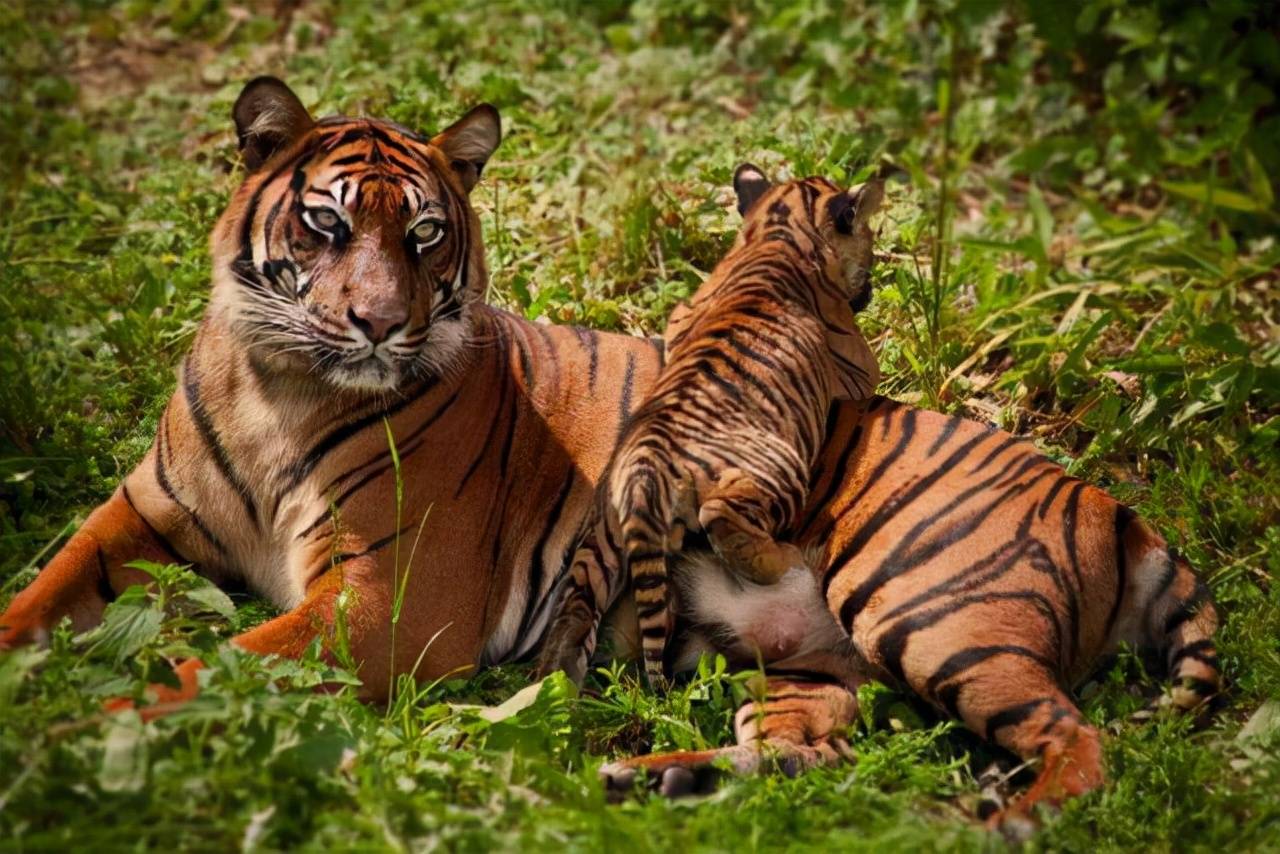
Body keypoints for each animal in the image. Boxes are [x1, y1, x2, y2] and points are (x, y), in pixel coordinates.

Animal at [0, 78, 1218, 819]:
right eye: (327, 223)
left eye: (425, 234)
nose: (379, 324)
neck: (278, 387)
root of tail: (1111, 503)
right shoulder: (141, 520)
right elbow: (35, 598)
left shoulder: (385, 604)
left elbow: (210, 666)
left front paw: (73, 735)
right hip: (811, 674)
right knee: (809, 752)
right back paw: (652, 775)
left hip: (924, 605)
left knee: (1078, 742)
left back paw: (994, 818)